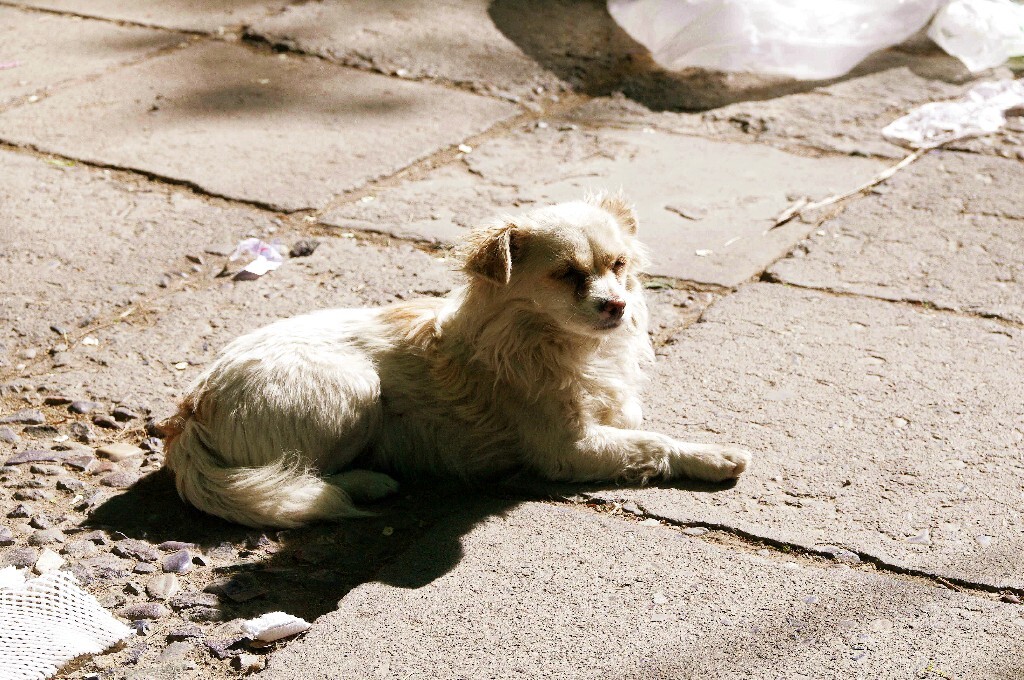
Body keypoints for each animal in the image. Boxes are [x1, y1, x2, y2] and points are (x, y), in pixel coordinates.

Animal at [161, 193, 753, 528]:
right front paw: (713, 456)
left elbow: (637, 421)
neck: (559, 344)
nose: (617, 305)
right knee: (298, 474)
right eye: (567, 275)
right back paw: (367, 483)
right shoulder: (568, 450)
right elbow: (653, 442)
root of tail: (189, 412)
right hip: (356, 389)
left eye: (619, 265)